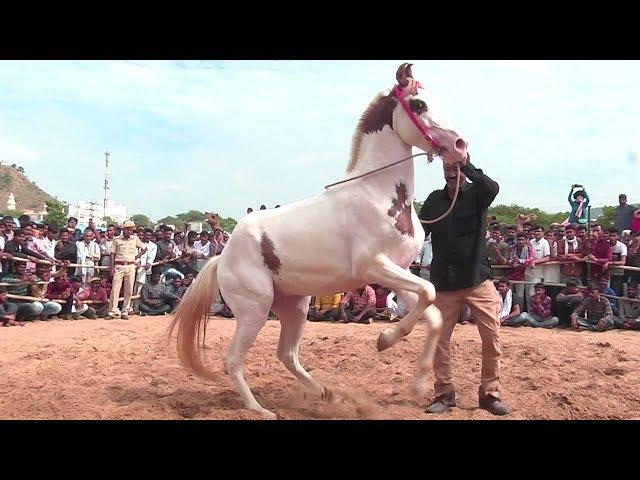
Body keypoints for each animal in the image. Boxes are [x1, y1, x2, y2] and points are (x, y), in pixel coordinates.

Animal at [169, 62, 470, 416]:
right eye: (419, 104)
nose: (460, 146)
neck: (377, 194)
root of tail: (222, 256)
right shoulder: (374, 267)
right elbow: (429, 292)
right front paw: (384, 339)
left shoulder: (399, 271)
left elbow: (432, 312)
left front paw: (417, 384)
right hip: (255, 309)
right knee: (233, 360)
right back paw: (260, 409)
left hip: (294, 307)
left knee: (286, 354)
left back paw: (324, 393)